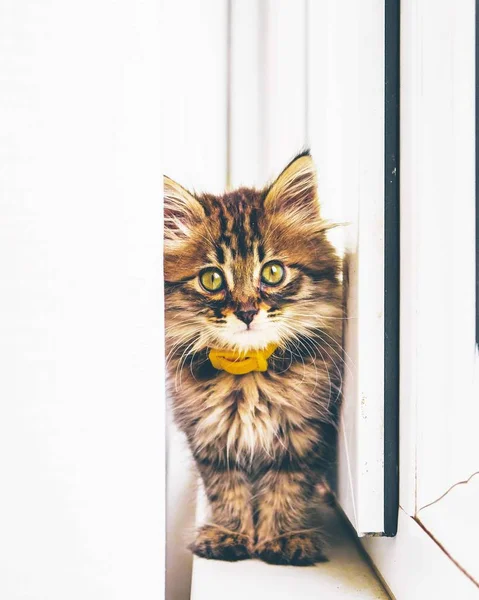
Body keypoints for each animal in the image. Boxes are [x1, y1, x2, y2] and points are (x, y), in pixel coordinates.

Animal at [166, 152, 344, 564]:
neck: (248, 375)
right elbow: (227, 491)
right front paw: (231, 535)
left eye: (273, 272)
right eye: (212, 279)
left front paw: (281, 538)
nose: (247, 312)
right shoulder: (211, 440)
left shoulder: (305, 434)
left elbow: (287, 489)